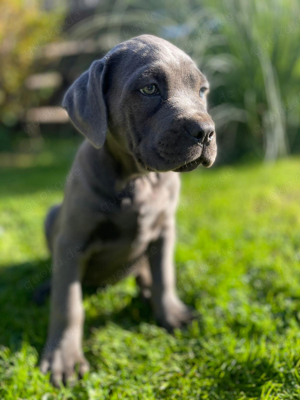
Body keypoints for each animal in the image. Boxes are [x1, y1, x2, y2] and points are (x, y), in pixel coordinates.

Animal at [40, 35, 218, 388]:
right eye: (149, 89)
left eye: (202, 90)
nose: (206, 132)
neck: (138, 179)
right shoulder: (71, 241)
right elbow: (68, 303)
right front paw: (63, 358)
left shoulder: (165, 231)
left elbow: (165, 277)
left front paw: (171, 315)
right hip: (52, 216)